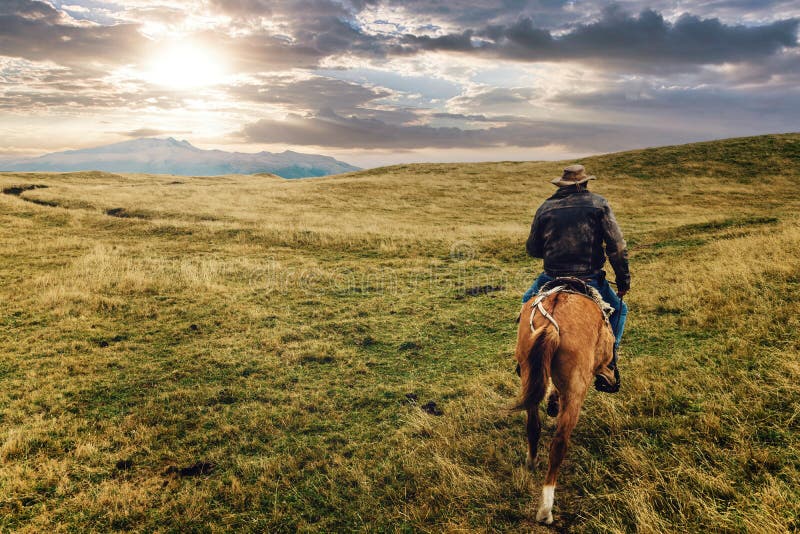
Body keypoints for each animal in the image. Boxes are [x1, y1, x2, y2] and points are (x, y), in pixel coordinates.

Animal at [512, 286, 620, 524]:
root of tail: (551, 325)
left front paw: (553, 402)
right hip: (576, 389)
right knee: (559, 444)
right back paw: (545, 510)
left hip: (528, 374)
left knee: (533, 426)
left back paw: (532, 461)